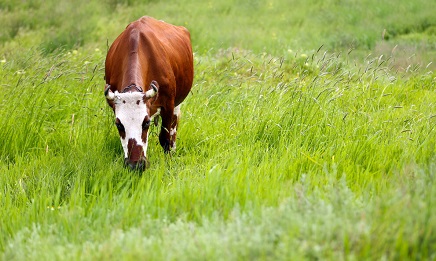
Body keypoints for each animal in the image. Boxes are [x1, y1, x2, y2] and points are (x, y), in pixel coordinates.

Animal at [104, 16, 192, 171]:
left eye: (146, 123)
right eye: (119, 125)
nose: (135, 165)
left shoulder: (168, 105)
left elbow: (165, 138)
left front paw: (169, 162)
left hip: (177, 103)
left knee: (174, 128)